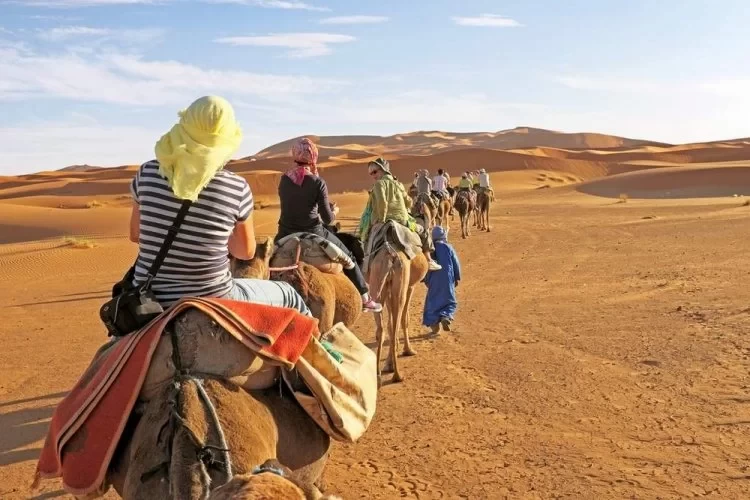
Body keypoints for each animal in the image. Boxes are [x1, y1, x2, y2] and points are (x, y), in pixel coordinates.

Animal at [368, 229, 432, 384]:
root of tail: (389, 256)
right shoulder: (410, 286)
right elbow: (404, 319)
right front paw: (408, 350)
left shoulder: (388, 290)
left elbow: (390, 324)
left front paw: (388, 364)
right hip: (401, 280)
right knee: (397, 322)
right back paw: (397, 375)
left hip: (377, 281)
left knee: (381, 329)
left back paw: (378, 374)